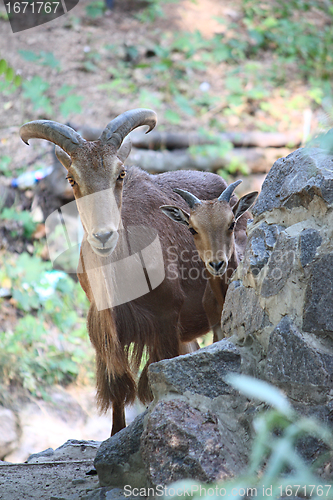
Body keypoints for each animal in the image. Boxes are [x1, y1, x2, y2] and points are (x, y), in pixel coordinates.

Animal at [19, 108, 228, 434]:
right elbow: (117, 389)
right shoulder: (104, 330)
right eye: (71, 179)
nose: (104, 236)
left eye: (120, 173)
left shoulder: (166, 322)